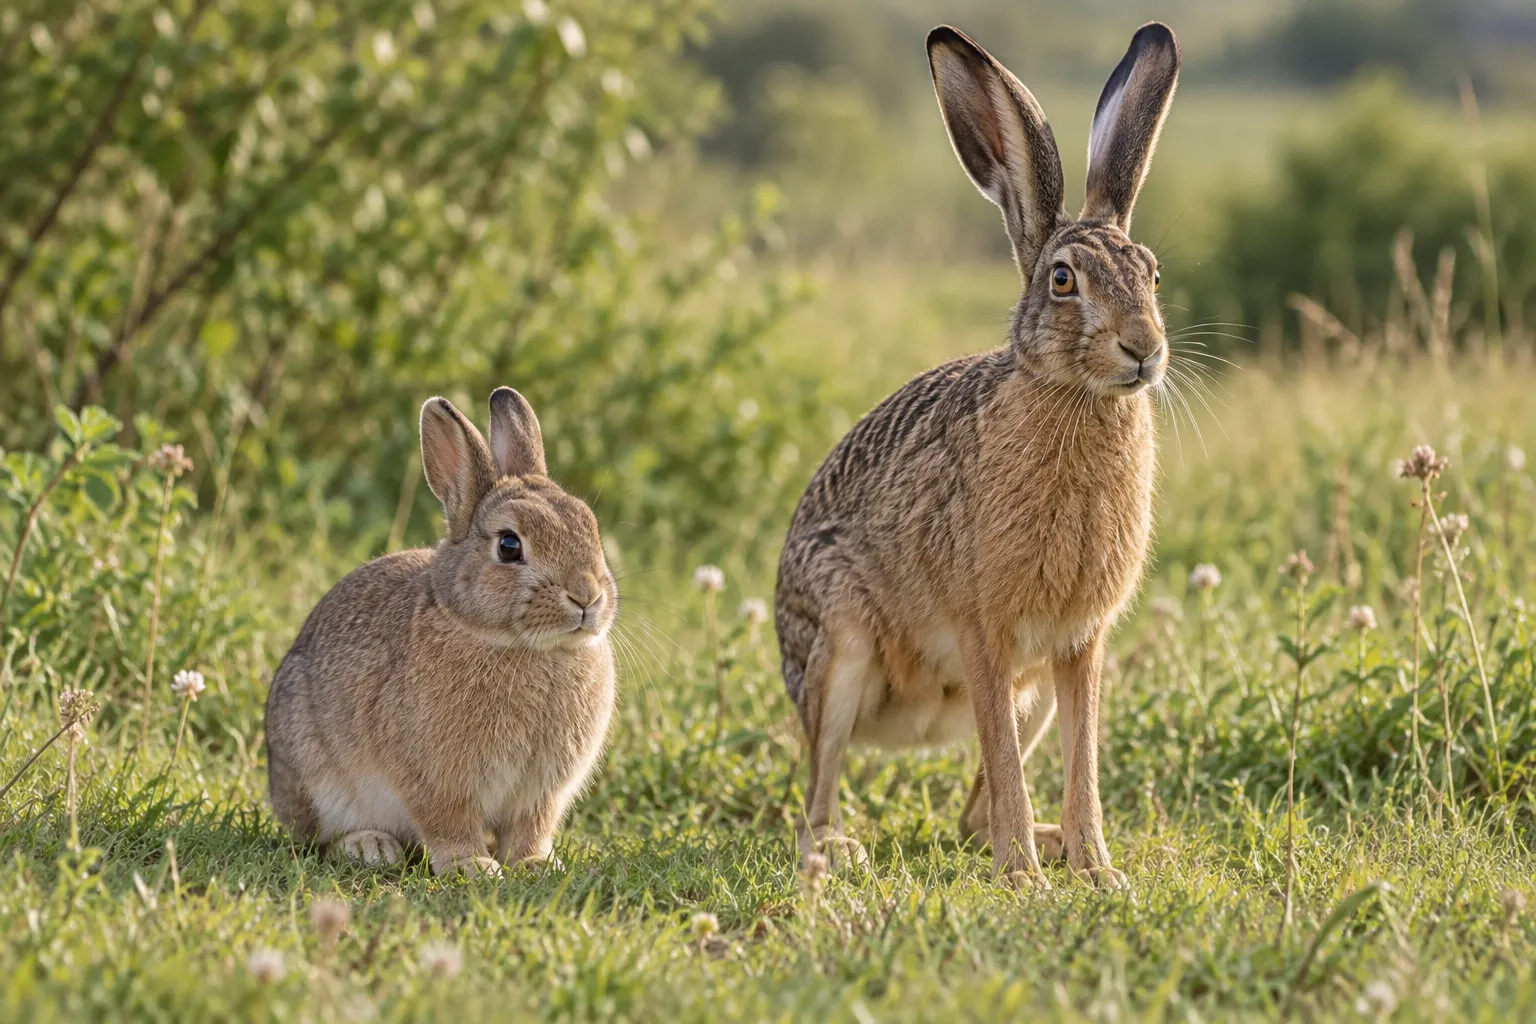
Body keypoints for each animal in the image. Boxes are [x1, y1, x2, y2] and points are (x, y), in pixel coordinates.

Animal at [264, 387, 617, 876]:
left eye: (591, 527)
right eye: (509, 546)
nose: (587, 597)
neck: (528, 647)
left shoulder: (540, 793)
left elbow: (530, 829)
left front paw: (536, 865)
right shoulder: (435, 781)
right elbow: (449, 823)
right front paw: (474, 867)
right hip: (314, 774)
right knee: (322, 838)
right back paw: (370, 848)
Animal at [774, 22, 1180, 889]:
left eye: (1153, 275)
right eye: (1062, 281)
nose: (1143, 349)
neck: (1073, 398)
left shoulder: (1078, 645)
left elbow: (1080, 766)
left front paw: (1100, 871)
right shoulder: (982, 626)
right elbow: (1008, 761)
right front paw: (1024, 879)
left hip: (1033, 693)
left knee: (973, 807)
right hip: (839, 646)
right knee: (818, 789)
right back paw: (841, 850)